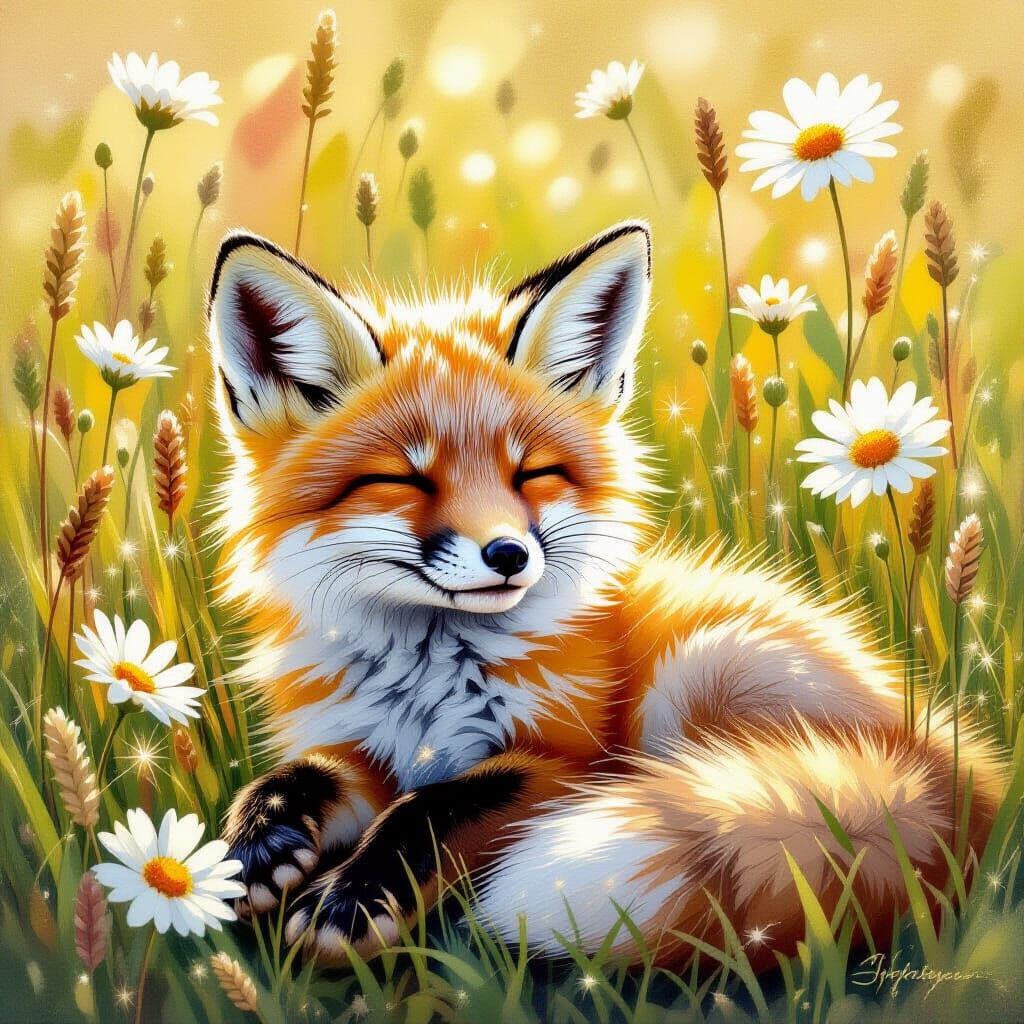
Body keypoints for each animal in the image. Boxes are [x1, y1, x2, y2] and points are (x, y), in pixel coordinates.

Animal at [210, 221, 1004, 969]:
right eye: (402, 479)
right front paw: (256, 844)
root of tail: (955, 766)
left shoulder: (568, 763)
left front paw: (351, 896)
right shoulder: (360, 743)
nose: (508, 555)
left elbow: (437, 804)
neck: (425, 681)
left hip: (696, 676)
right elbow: (303, 775)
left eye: (532, 474)